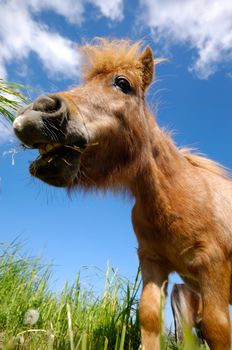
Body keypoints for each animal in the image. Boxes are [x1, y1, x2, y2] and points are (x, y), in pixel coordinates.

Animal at [13, 39, 232, 350]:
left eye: (122, 83)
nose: (37, 112)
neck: (175, 193)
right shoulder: (153, 264)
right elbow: (150, 318)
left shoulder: (212, 269)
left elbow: (217, 328)